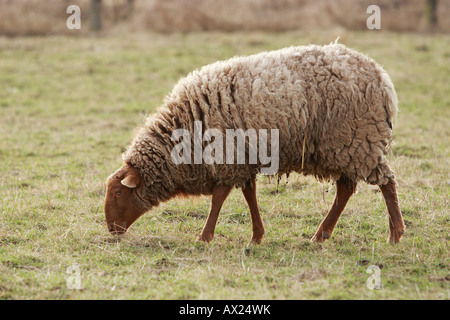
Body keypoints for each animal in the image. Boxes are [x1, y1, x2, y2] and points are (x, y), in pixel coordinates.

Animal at [104, 41, 404, 244]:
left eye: (118, 193)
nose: (110, 229)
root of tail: (383, 79)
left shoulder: (227, 156)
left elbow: (219, 197)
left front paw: (205, 236)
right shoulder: (242, 157)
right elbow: (249, 195)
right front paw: (257, 235)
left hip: (357, 141)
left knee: (386, 182)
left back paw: (395, 233)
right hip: (345, 147)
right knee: (346, 188)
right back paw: (321, 234)